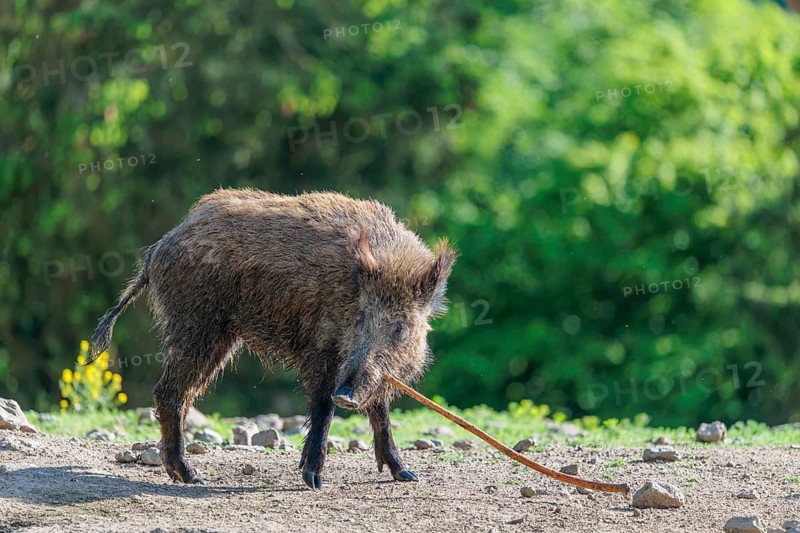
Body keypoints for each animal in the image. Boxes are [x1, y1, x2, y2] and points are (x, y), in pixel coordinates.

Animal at [88, 189, 456, 489]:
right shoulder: (320, 350)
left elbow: (380, 412)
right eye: (361, 318)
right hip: (197, 326)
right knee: (168, 393)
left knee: (179, 394)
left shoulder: (363, 368)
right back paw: (192, 476)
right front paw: (313, 480)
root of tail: (159, 249)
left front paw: (406, 475)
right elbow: (323, 407)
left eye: (400, 327)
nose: (347, 395)